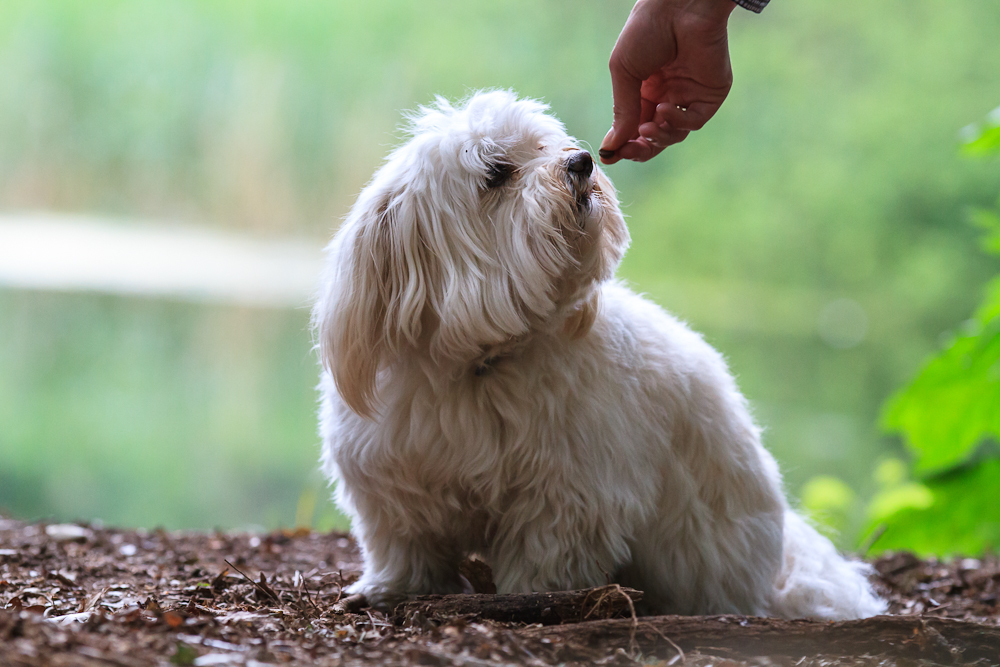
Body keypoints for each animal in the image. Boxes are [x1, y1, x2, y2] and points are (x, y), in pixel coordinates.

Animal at [312, 90, 884, 620]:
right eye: (496, 173)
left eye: (545, 144)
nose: (582, 161)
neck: (478, 362)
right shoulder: (392, 482)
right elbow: (405, 546)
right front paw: (393, 588)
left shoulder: (568, 493)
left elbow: (545, 553)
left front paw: (531, 597)